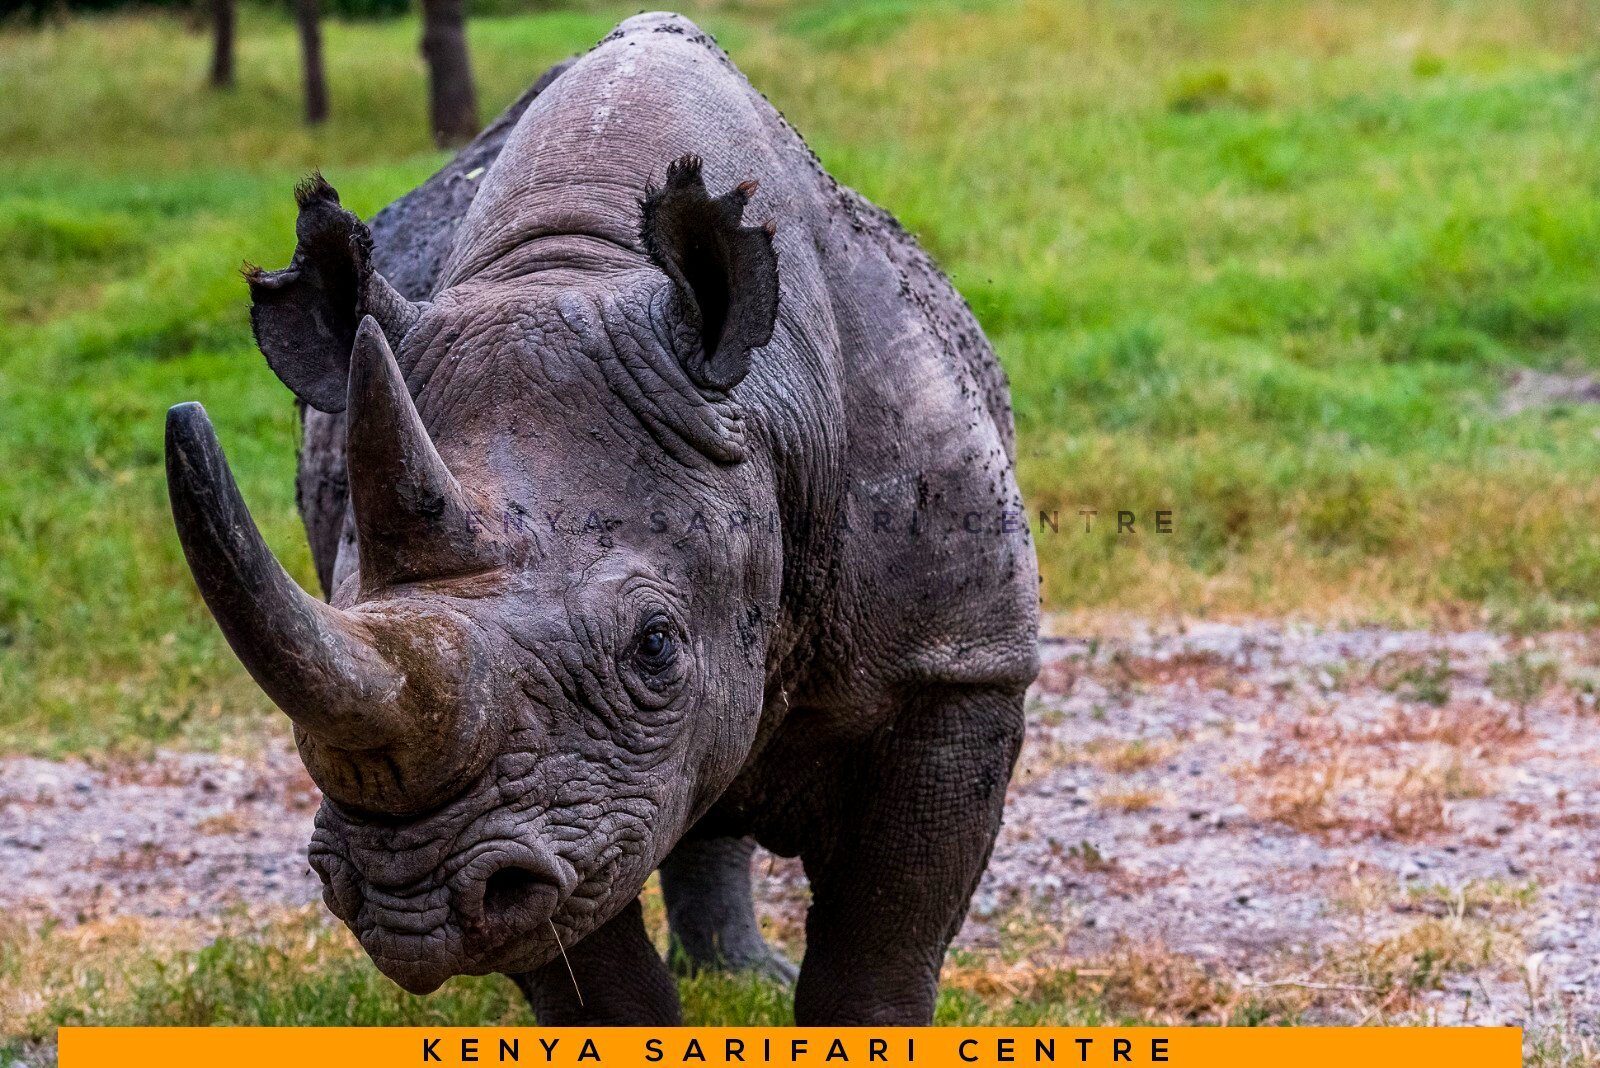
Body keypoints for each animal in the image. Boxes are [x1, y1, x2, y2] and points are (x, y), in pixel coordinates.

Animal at [165, 12, 1038, 1024]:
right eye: (338, 607)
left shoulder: (957, 664)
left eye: (655, 646)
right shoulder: (549, 809)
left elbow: (882, 948)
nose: (407, 902)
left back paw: (743, 978)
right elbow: (594, 974)